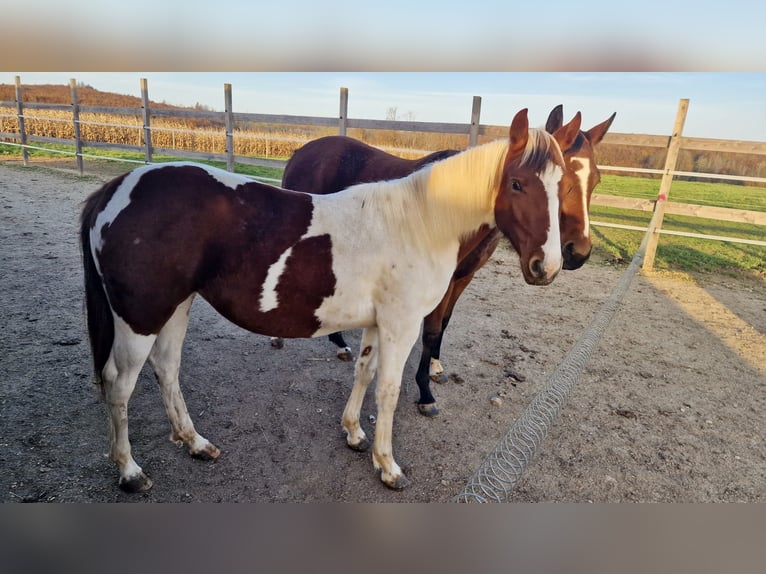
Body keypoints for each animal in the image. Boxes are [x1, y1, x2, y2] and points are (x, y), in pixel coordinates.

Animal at [82, 109, 576, 496]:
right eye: (517, 183)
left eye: (565, 186)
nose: (548, 266)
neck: (419, 222)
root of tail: (117, 189)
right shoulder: (401, 325)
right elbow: (389, 390)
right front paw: (388, 465)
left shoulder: (377, 323)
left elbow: (364, 372)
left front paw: (355, 434)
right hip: (140, 316)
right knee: (119, 383)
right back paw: (130, 472)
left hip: (174, 307)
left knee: (167, 370)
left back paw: (195, 442)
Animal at [280, 106, 616, 416]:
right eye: (566, 179)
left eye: (596, 180)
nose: (576, 253)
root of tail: (302, 151)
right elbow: (430, 330)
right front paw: (425, 393)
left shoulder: (463, 277)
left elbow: (444, 323)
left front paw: (434, 367)